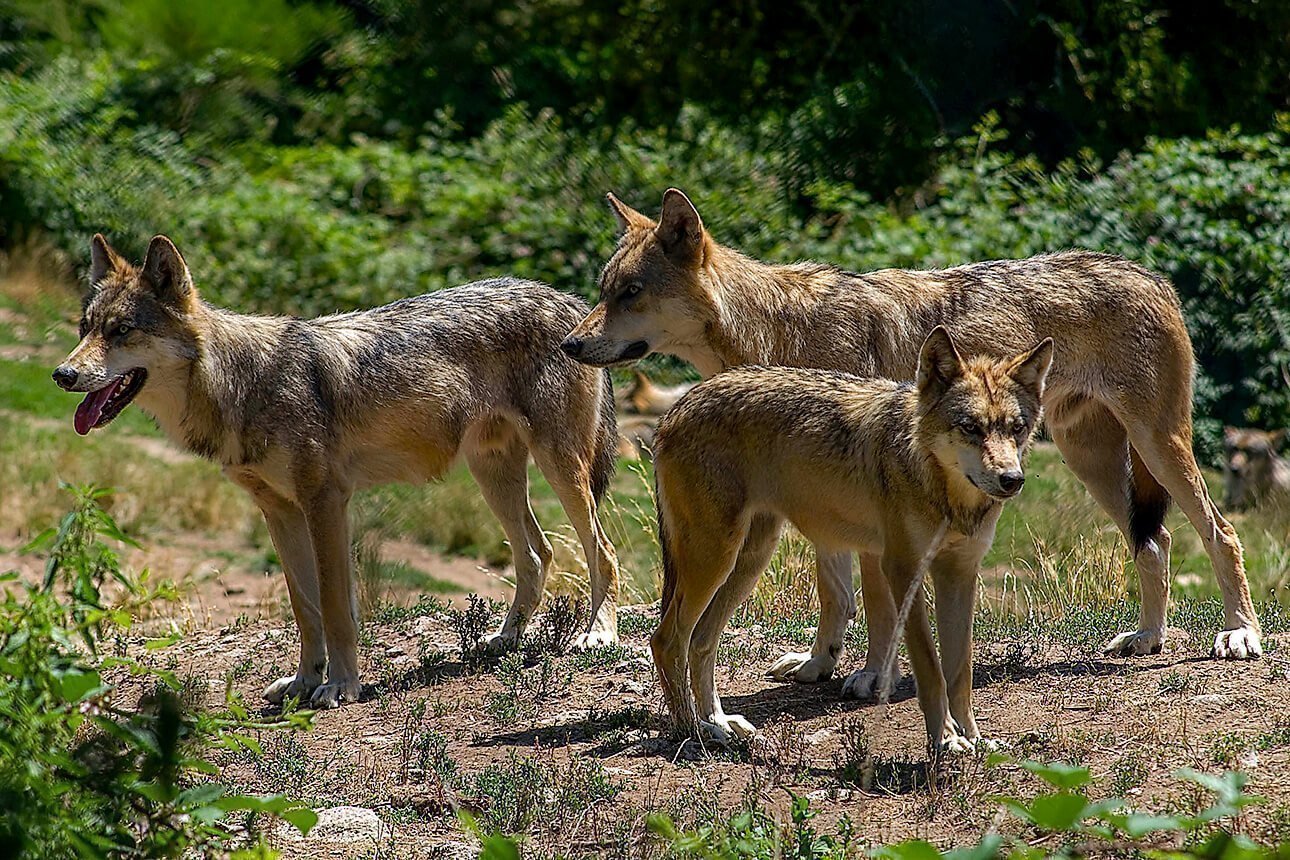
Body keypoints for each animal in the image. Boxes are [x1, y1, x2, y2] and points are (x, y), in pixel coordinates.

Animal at [47, 233, 616, 706]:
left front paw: (341, 685)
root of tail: (570, 301)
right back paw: (506, 638)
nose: (62, 374)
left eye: (121, 331)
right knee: (538, 553)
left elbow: (337, 607)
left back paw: (598, 633)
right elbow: (306, 609)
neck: (240, 385)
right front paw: (304, 681)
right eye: (85, 329)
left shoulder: (325, 502)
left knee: (600, 550)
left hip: (560, 469)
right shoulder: (279, 513)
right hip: (492, 476)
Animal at [565, 186, 1259, 701]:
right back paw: (1147, 639)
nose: (570, 345)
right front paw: (818, 666)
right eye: (603, 290)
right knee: (1156, 541)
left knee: (1220, 533)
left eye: (629, 293)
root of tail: (1152, 273)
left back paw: (1240, 635)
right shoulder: (825, 489)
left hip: (1157, 446)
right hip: (1091, 460)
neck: (774, 335)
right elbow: (834, 592)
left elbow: (874, 603)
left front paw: (874, 676)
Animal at [650, 326, 1052, 747]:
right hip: (715, 559)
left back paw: (719, 722)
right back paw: (692, 729)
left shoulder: (959, 574)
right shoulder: (903, 570)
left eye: (1017, 428)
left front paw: (973, 739)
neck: (943, 490)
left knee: (701, 641)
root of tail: (677, 406)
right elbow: (931, 668)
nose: (1012, 480)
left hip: (747, 561)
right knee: (667, 640)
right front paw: (945, 739)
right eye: (971, 427)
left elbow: (960, 672)